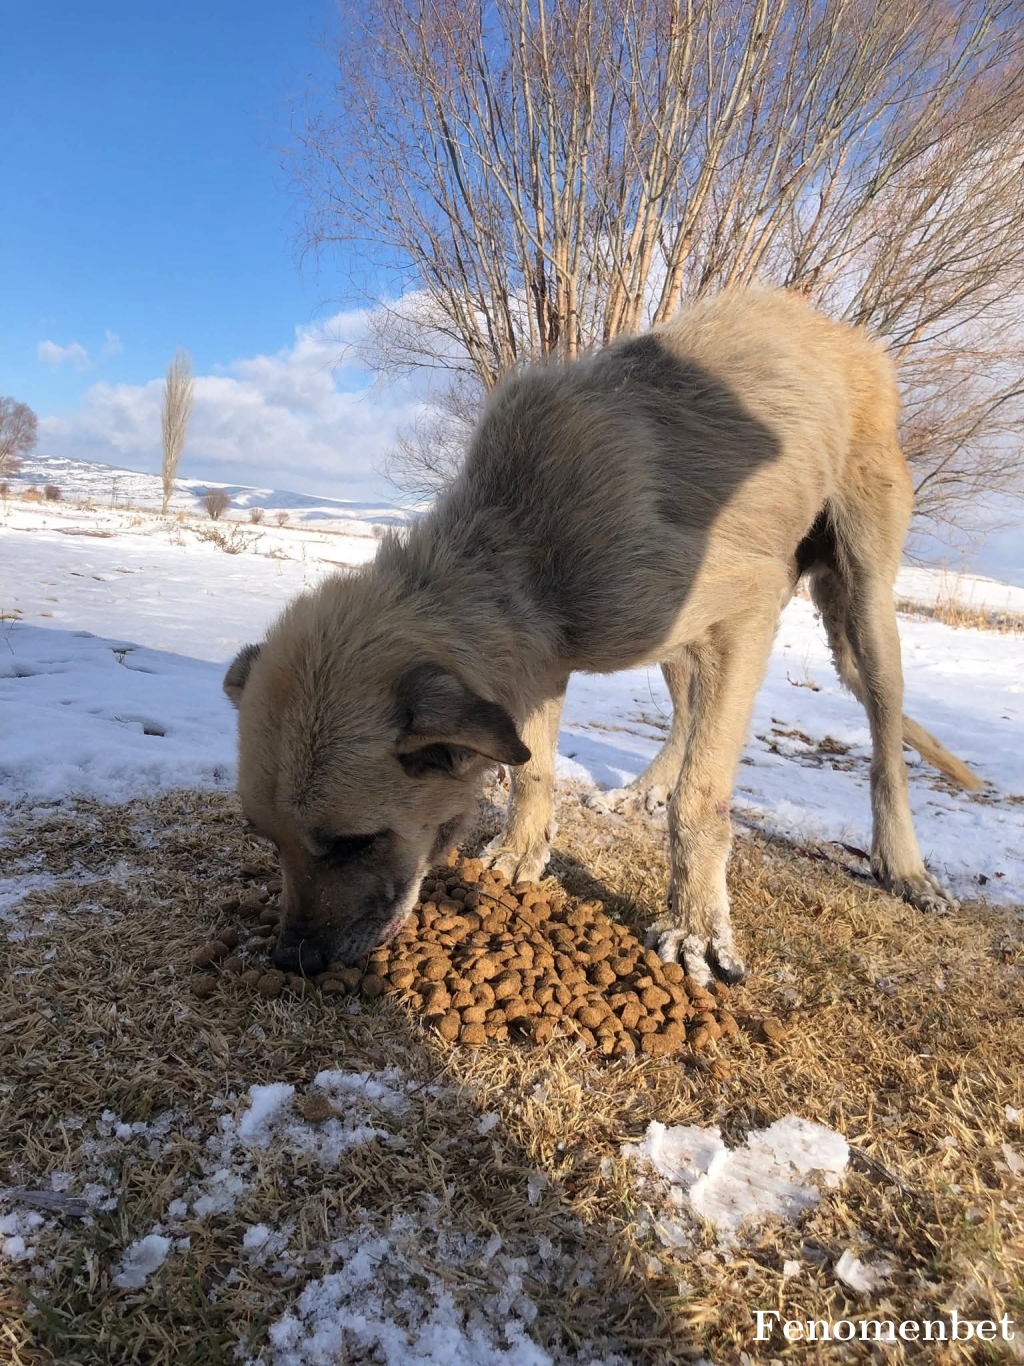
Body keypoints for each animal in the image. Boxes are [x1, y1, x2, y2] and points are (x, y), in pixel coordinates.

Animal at [223, 285, 977, 983]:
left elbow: (702, 798)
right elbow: (535, 767)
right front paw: (521, 852)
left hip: (862, 604)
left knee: (884, 735)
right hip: (680, 643)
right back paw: (644, 790)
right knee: (686, 713)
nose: (292, 960)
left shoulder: (744, 612)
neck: (517, 542)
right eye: (266, 836)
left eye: (354, 841)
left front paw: (696, 928)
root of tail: (843, 334)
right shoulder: (540, 661)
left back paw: (903, 865)